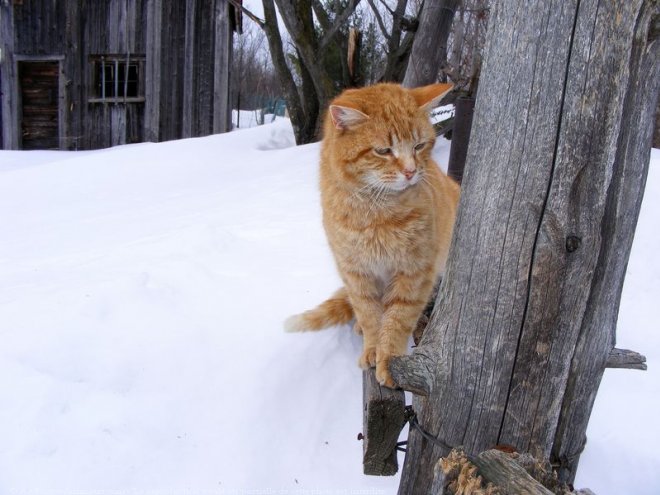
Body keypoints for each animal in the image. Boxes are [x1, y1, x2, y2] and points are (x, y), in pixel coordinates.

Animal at [286, 83, 462, 390]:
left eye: (419, 146)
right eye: (383, 150)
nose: (410, 171)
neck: (375, 213)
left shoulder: (415, 272)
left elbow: (398, 318)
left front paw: (388, 358)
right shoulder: (356, 273)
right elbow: (370, 315)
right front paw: (372, 348)